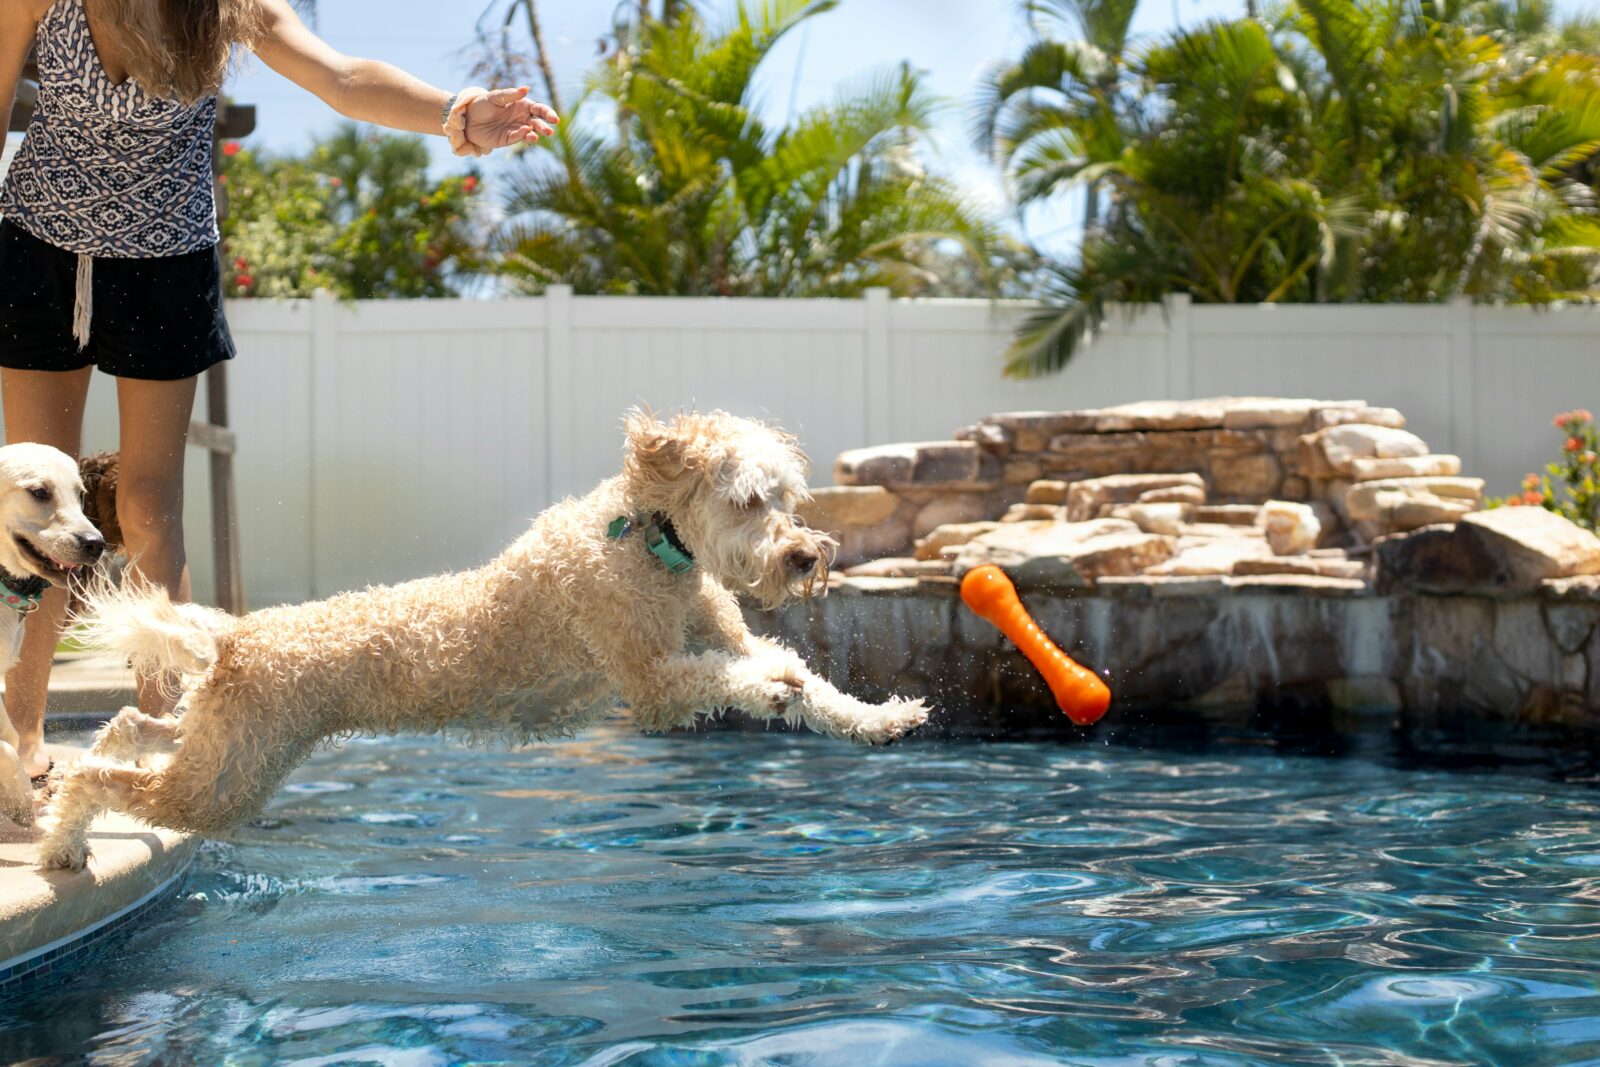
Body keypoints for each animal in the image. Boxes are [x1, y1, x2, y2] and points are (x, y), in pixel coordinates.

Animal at [0, 441, 108, 825]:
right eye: (39, 492)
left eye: (81, 495)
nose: (95, 543)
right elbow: (7, 749)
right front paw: (22, 803)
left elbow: (9, 736)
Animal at [40, 412, 928, 870]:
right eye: (747, 500)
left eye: (786, 496)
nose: (808, 553)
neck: (650, 543)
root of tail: (237, 631)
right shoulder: (651, 681)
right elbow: (727, 676)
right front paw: (772, 685)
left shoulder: (711, 635)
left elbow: (812, 685)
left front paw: (880, 716)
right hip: (226, 781)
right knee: (102, 777)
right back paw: (59, 840)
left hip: (227, 745)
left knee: (132, 728)